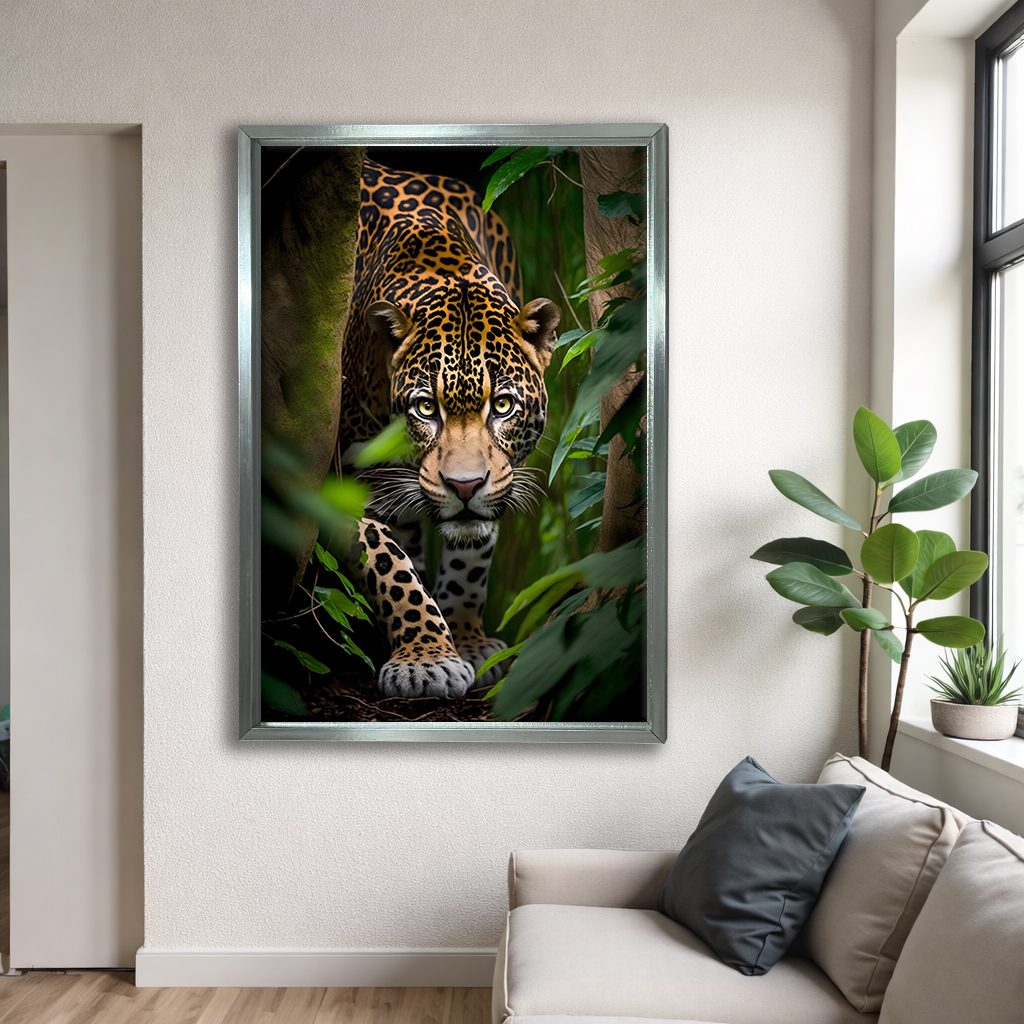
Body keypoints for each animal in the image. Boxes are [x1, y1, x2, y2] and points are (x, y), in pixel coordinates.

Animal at [335, 157, 561, 700]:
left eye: (502, 405)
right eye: (425, 409)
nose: (464, 486)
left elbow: (470, 560)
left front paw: (466, 640)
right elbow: (389, 564)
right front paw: (426, 658)